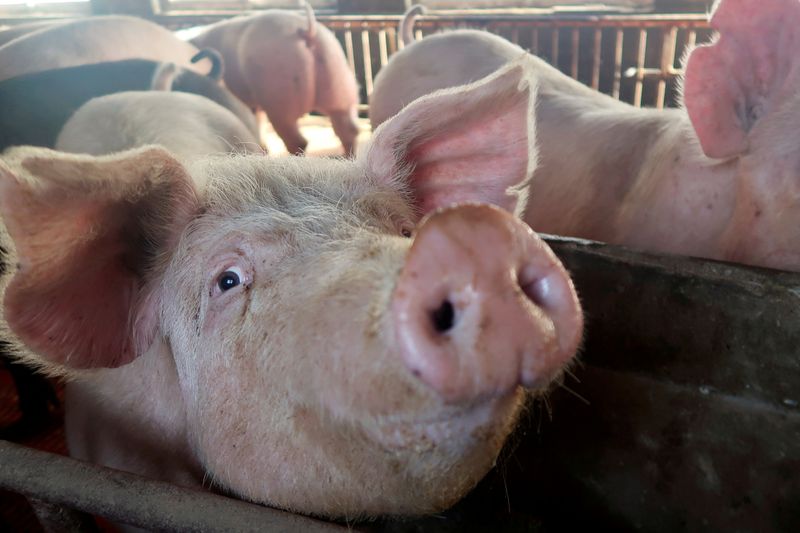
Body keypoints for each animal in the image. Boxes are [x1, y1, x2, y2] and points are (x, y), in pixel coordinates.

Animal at [191, 2, 360, 156]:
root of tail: (307, 30)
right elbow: (259, 121)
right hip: (339, 78)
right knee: (348, 128)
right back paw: (347, 157)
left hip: (279, 94)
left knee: (298, 140)